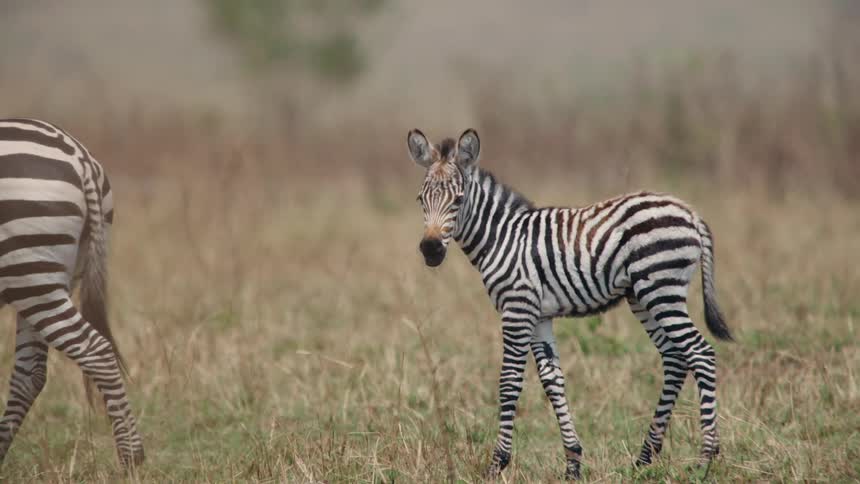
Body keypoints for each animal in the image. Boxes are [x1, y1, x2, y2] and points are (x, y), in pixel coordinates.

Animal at [0, 118, 144, 468]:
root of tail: (77, 154)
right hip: (45, 277)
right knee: (30, 374)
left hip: (30, 272)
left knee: (95, 351)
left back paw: (131, 458)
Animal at [407, 128, 733, 480]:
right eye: (421, 200)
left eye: (459, 200)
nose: (430, 250)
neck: (500, 238)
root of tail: (690, 213)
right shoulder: (539, 316)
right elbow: (553, 382)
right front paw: (573, 463)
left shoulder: (517, 307)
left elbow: (509, 383)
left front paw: (497, 464)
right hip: (643, 296)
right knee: (675, 358)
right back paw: (644, 457)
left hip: (661, 288)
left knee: (700, 353)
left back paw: (705, 459)